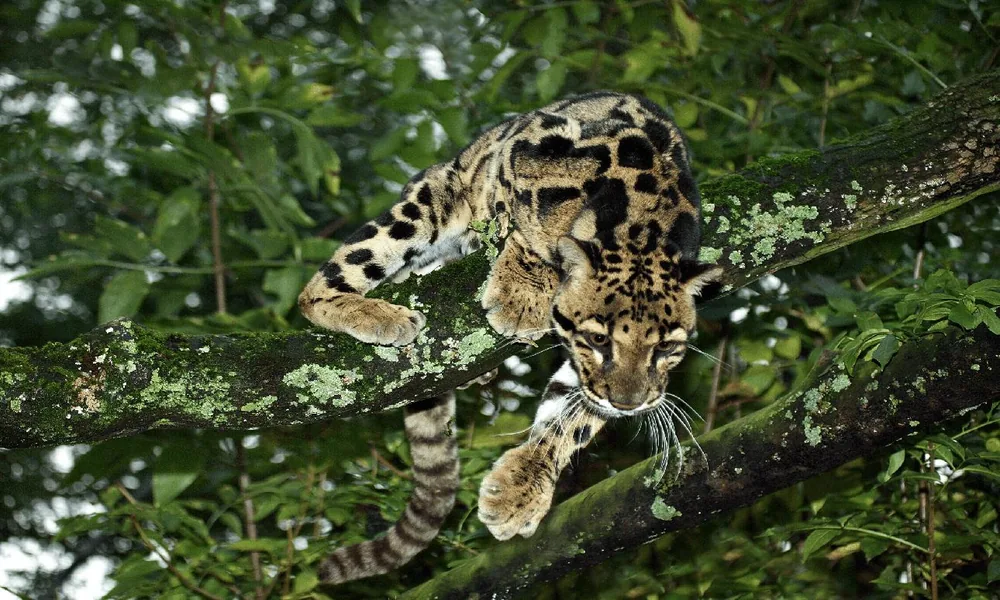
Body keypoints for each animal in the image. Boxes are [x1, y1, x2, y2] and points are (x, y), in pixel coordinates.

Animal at [298, 91, 720, 584]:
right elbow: (519, 223)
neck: (646, 224)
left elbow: (572, 419)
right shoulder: (524, 147)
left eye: (667, 348)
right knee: (323, 285)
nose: (630, 404)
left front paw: (523, 487)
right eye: (598, 340)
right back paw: (372, 311)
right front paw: (524, 290)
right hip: (427, 201)